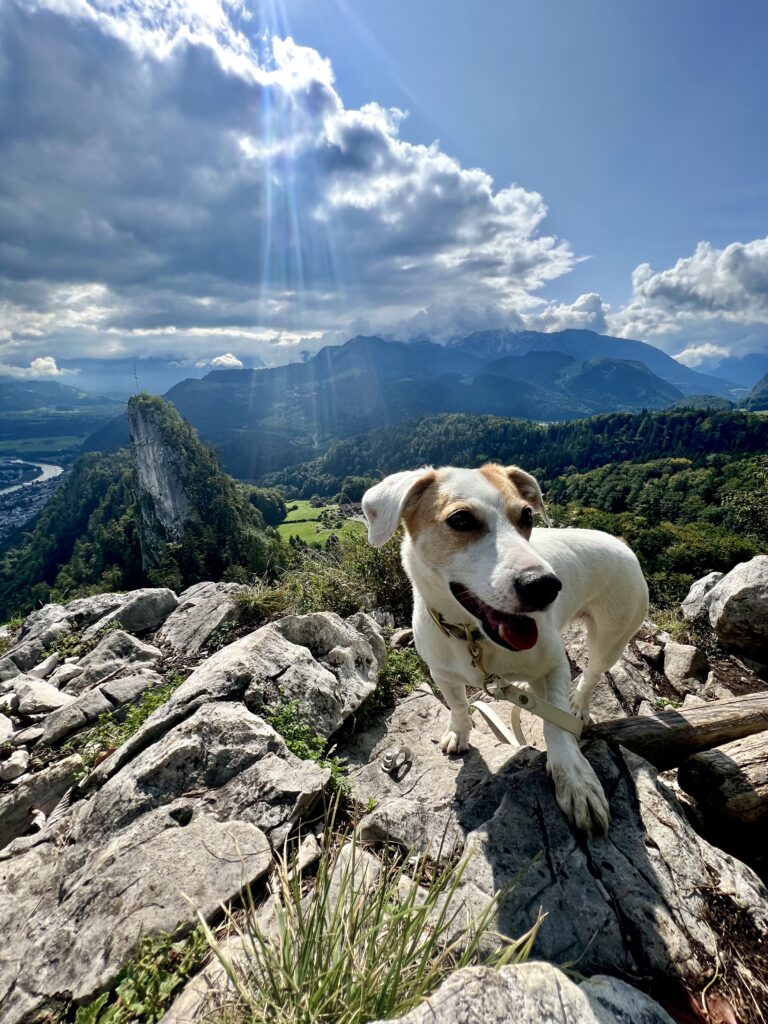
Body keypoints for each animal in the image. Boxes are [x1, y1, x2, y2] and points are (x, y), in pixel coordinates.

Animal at [362, 462, 651, 831]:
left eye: (527, 515)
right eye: (460, 520)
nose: (544, 586)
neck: (475, 638)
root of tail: (620, 541)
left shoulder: (555, 663)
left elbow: (554, 723)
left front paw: (574, 777)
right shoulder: (442, 673)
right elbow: (458, 705)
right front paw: (459, 733)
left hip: (612, 636)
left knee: (592, 674)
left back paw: (577, 705)